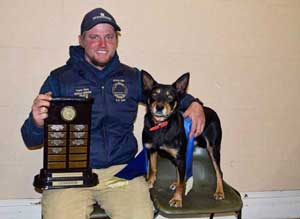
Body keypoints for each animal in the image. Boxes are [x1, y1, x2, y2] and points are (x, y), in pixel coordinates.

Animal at [142, 70, 224, 207]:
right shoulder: (152, 150)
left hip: (213, 149)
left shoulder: (180, 157)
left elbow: (181, 182)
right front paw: (149, 182)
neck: (161, 126)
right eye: (154, 94)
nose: (159, 107)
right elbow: (153, 169)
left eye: (170, 97)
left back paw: (220, 192)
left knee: (219, 172)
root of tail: (213, 112)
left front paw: (177, 199)